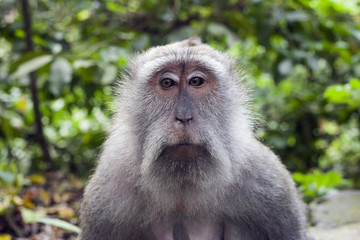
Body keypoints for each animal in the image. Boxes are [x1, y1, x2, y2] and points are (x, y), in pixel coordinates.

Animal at [79, 38, 310, 240]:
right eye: (167, 83)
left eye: (196, 81)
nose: (184, 117)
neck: (185, 181)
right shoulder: (107, 192)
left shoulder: (268, 182)